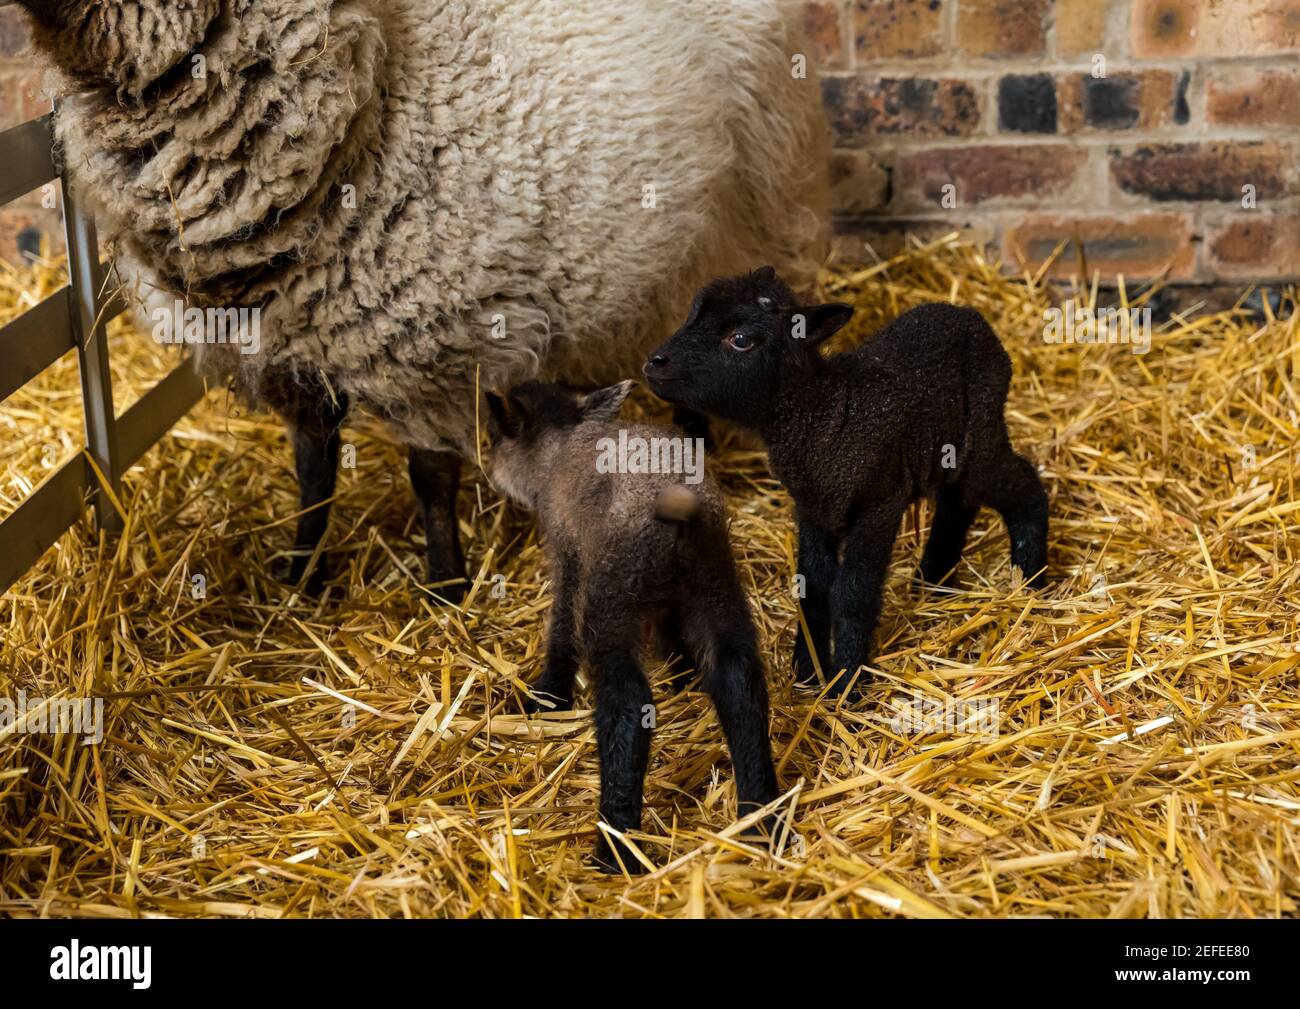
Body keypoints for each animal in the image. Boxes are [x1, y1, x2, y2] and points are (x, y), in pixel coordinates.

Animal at [644, 267, 1050, 691]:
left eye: (740, 340)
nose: (655, 363)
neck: (826, 411)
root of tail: (967, 313)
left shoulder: (879, 504)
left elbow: (852, 594)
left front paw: (847, 683)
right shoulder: (812, 508)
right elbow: (814, 588)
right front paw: (807, 674)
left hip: (980, 440)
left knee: (1022, 485)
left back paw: (1031, 579)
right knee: (957, 504)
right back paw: (932, 583)